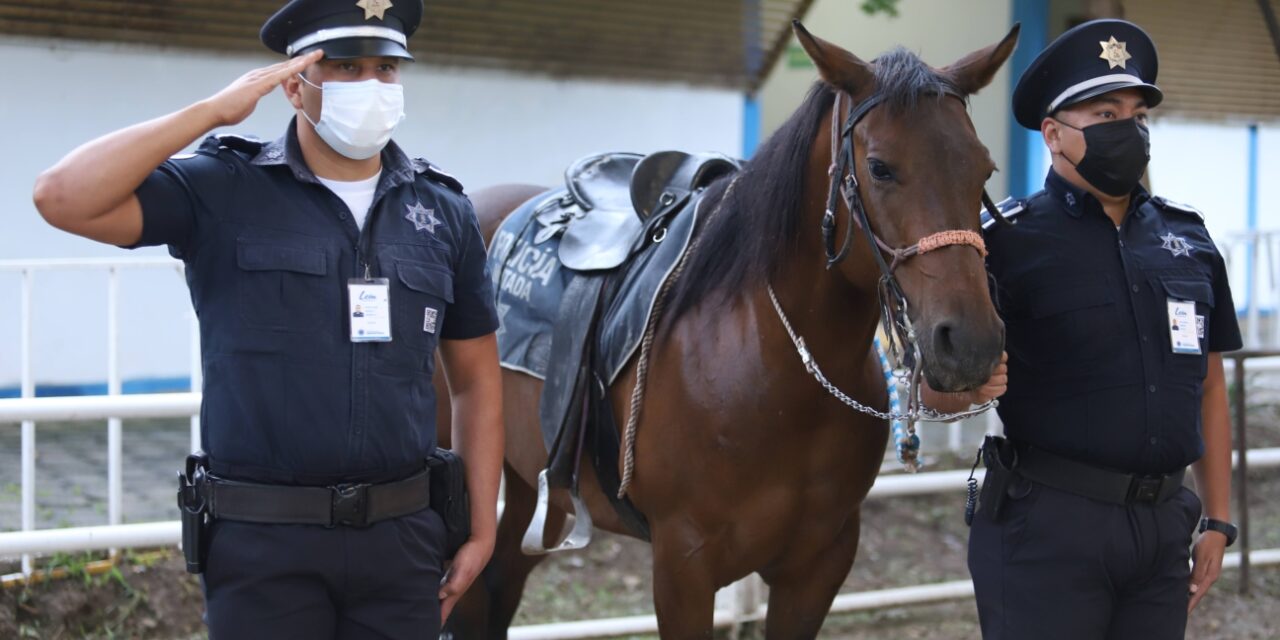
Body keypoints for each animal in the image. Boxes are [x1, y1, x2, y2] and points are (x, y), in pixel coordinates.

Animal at [440, 22, 1018, 637]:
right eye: (881, 167)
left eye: (984, 170)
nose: (971, 344)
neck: (772, 374)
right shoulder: (682, 568)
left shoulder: (819, 567)